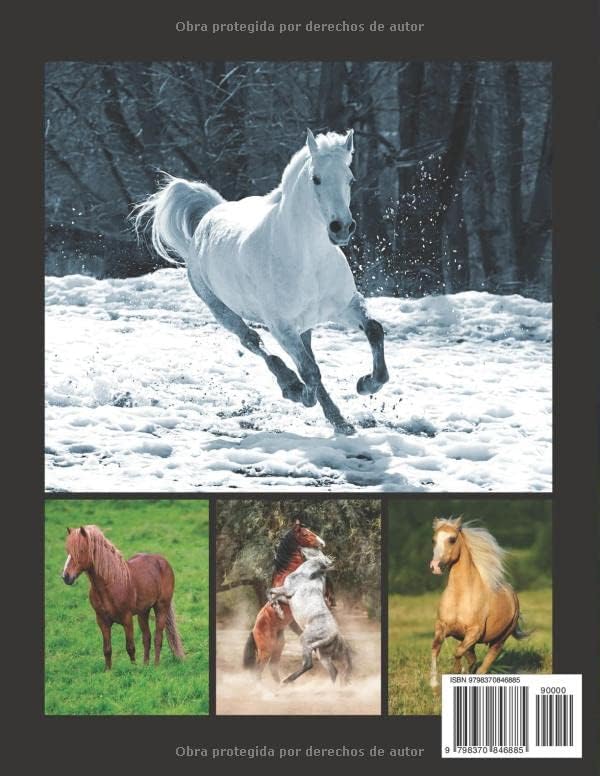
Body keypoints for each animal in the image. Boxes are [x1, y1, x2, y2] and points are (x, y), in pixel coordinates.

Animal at [62, 525, 185, 670]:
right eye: (68, 551)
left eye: (80, 550)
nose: (66, 577)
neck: (110, 584)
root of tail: (163, 561)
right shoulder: (102, 621)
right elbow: (107, 649)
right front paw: (108, 672)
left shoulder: (127, 619)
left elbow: (130, 647)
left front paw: (133, 669)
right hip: (143, 612)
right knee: (147, 638)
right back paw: (146, 665)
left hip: (161, 607)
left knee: (157, 638)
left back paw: (155, 666)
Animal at [134, 128, 389, 435]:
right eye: (316, 178)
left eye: (350, 179)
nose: (342, 228)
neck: (309, 259)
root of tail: (209, 217)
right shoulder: (281, 326)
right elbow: (309, 372)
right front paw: (299, 393)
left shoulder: (345, 306)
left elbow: (373, 330)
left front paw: (366, 384)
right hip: (222, 310)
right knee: (252, 342)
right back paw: (291, 386)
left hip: (303, 324)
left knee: (304, 355)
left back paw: (339, 421)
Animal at [242, 518, 327, 681]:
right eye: (306, 534)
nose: (322, 543)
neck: (289, 572)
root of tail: (254, 630)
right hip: (265, 651)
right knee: (258, 672)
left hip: (278, 647)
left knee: (273, 667)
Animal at [269, 550, 352, 684]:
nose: (302, 551)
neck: (307, 574)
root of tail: (333, 634)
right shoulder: (287, 598)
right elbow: (272, 595)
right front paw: (278, 610)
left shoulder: (287, 590)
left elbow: (270, 592)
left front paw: (279, 612)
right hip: (323, 654)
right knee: (334, 671)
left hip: (305, 640)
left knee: (308, 664)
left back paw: (287, 681)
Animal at [429, 516, 528, 688]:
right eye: (434, 540)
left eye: (452, 539)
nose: (435, 566)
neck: (460, 596)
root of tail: (513, 595)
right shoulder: (442, 627)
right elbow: (436, 648)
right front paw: (434, 683)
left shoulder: (474, 633)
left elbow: (457, 651)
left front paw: (456, 671)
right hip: (471, 643)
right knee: (473, 660)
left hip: (499, 641)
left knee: (484, 666)